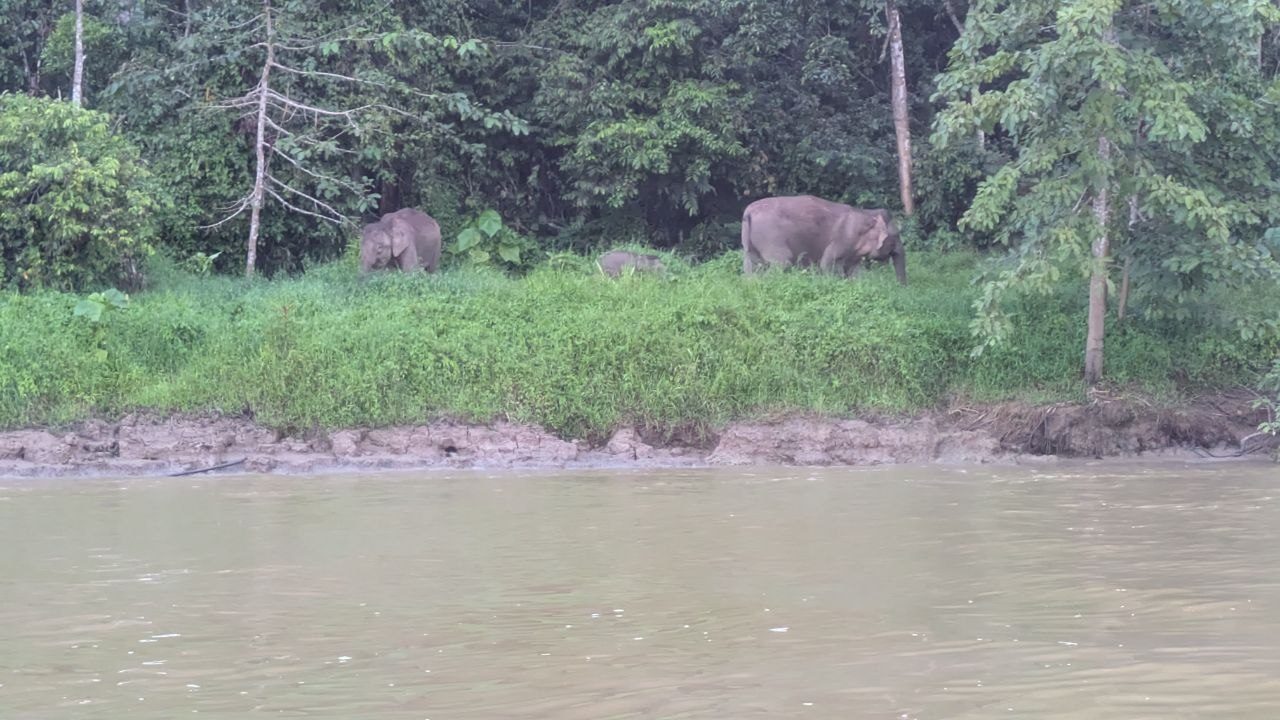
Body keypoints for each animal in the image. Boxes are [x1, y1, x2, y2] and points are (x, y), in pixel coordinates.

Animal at [741, 195, 907, 284]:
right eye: (897, 235)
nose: (901, 287)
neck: (866, 214)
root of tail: (748, 212)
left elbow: (853, 271)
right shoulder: (843, 238)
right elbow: (827, 263)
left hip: (750, 244)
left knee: (752, 266)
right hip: (771, 239)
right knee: (782, 262)